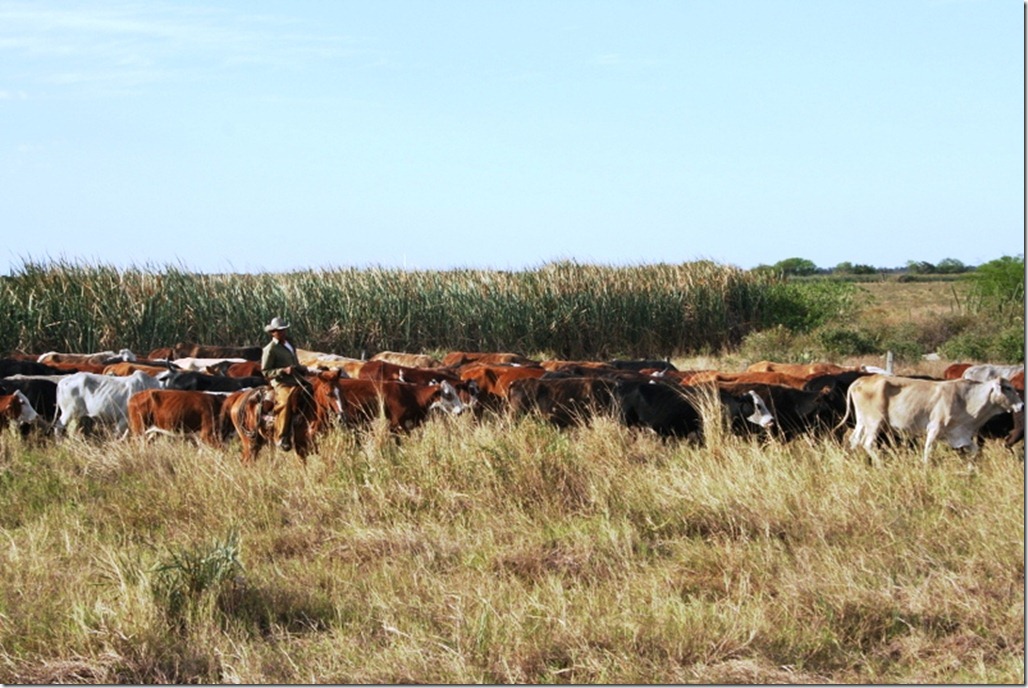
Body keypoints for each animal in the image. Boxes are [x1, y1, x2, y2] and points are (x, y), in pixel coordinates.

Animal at [838, 372, 1023, 464]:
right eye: (1007, 388)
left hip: (863, 423)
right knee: (867, 443)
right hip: (875, 423)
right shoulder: (934, 429)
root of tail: (862, 379)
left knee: (854, 441)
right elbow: (928, 452)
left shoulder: (959, 435)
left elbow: (975, 451)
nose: (1021, 405)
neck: (966, 399)